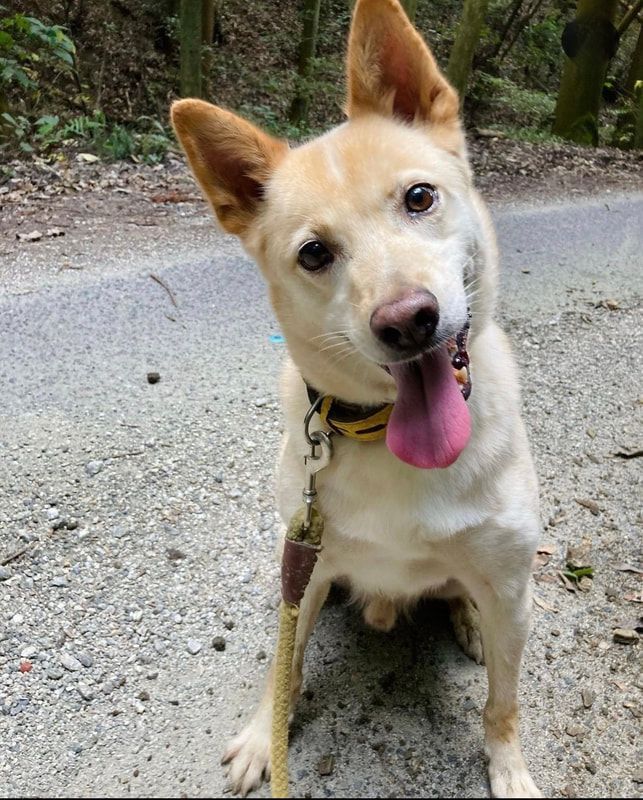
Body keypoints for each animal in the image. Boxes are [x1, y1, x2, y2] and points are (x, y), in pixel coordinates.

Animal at [172, 3, 544, 796]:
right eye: (315, 253)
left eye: (418, 198)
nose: (407, 322)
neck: (387, 440)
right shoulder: (304, 568)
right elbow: (281, 667)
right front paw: (265, 736)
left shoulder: (508, 587)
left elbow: (502, 703)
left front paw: (507, 767)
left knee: (470, 600)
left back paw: (468, 622)